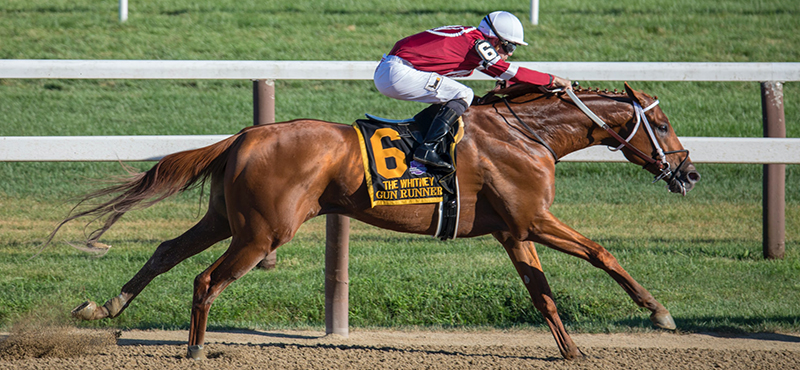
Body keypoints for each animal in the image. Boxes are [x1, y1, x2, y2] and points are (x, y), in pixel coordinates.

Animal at [62, 82, 696, 360]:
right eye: (662, 125)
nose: (688, 172)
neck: (528, 134)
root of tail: (244, 135)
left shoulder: (515, 230)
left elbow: (541, 294)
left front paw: (571, 351)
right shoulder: (533, 220)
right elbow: (601, 253)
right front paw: (660, 313)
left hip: (229, 219)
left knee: (167, 250)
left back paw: (104, 307)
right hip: (263, 232)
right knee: (206, 279)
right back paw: (194, 349)